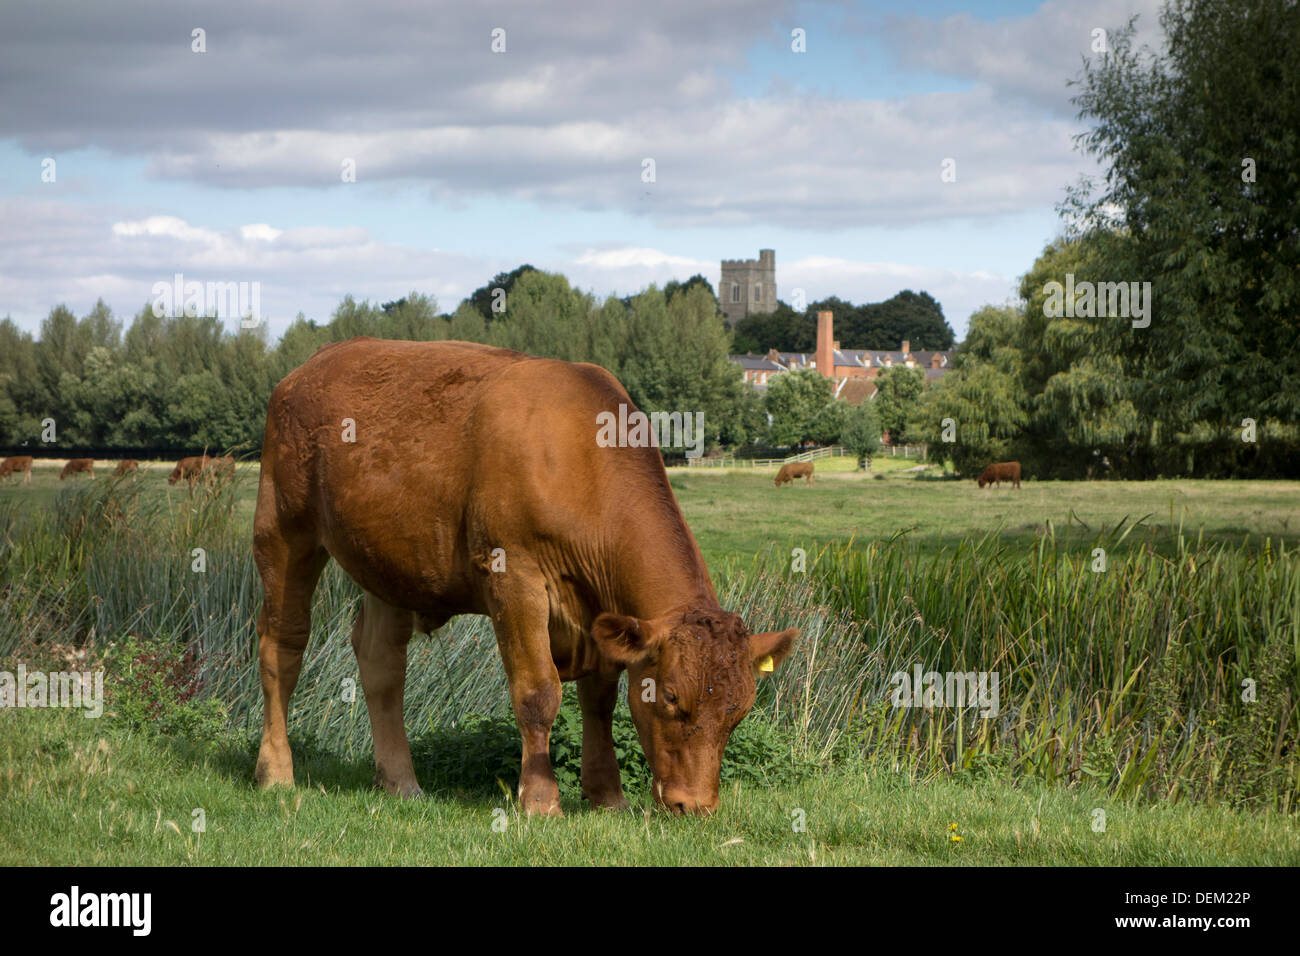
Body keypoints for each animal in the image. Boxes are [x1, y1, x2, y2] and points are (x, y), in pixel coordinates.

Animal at [253, 338, 799, 816]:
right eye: (669, 697)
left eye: (739, 711)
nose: (696, 806)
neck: (582, 466)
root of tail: (315, 362)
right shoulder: (513, 577)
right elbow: (538, 693)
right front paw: (540, 800)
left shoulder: (602, 613)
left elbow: (599, 701)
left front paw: (607, 796)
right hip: (282, 530)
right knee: (282, 646)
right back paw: (276, 772)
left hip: (385, 561)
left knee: (382, 662)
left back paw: (401, 782)